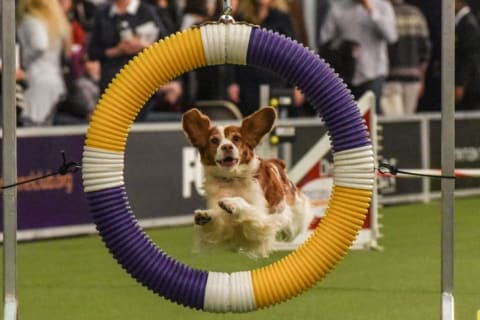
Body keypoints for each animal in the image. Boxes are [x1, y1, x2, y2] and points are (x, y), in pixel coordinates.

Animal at [182, 106, 314, 258]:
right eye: (214, 140)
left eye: (236, 138)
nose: (227, 147)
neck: (232, 179)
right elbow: (219, 222)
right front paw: (206, 216)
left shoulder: (264, 218)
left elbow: (246, 207)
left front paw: (230, 203)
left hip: (293, 219)